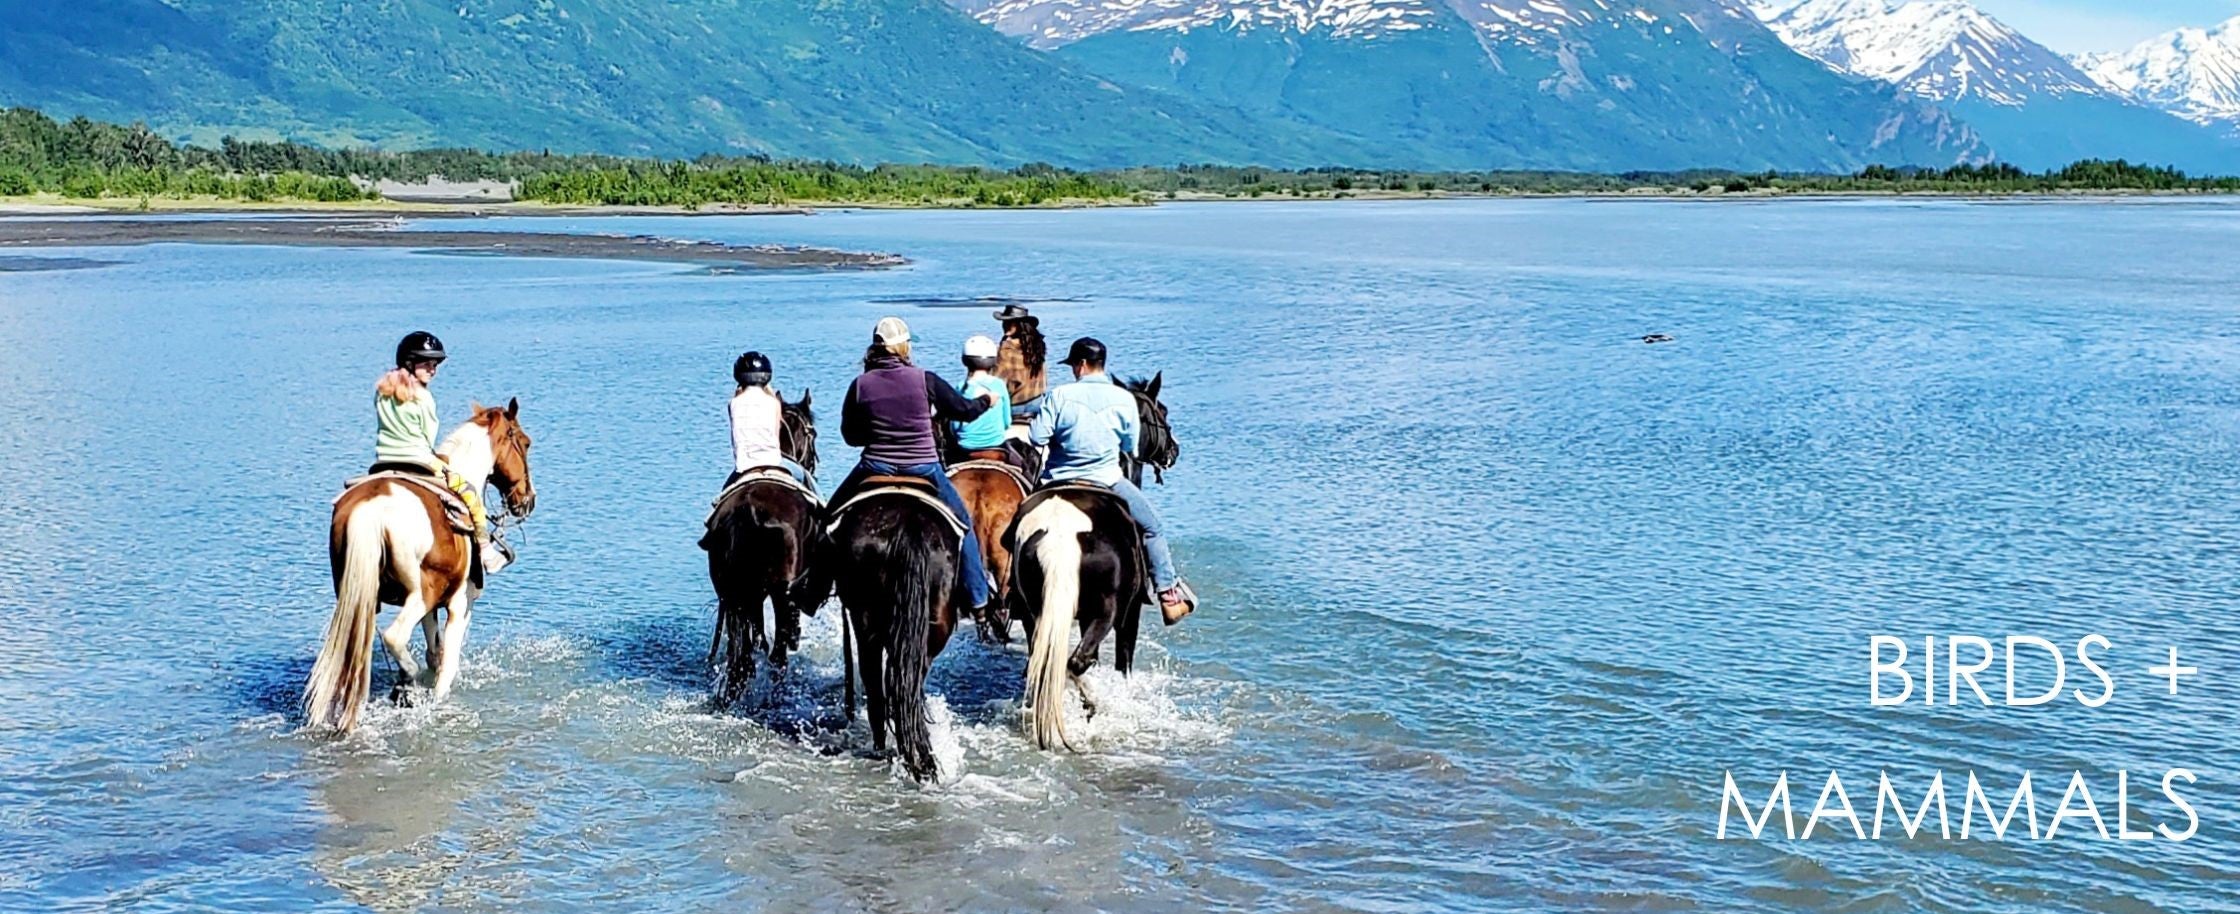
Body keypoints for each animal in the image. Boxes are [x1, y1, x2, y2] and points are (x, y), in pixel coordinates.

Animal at [306, 398, 537, 734]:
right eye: (525, 443)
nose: (527, 499)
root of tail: (372, 509)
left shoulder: (433, 605)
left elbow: (434, 651)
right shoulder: (459, 601)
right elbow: (447, 664)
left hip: (358, 597)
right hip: (419, 596)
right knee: (394, 637)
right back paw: (407, 680)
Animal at [698, 392, 833, 698]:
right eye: (814, 434)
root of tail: (749, 510)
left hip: (732, 592)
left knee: (742, 657)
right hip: (778, 592)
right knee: (777, 652)